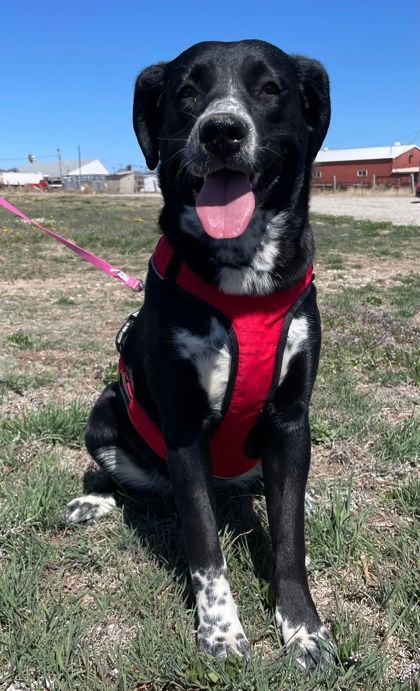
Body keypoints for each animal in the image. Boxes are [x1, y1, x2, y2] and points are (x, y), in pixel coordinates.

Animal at [63, 39, 332, 672]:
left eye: (271, 88)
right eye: (187, 92)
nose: (222, 131)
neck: (244, 284)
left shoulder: (292, 417)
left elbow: (288, 539)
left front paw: (303, 628)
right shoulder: (184, 427)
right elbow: (206, 545)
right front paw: (220, 632)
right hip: (103, 412)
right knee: (131, 482)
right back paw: (94, 501)